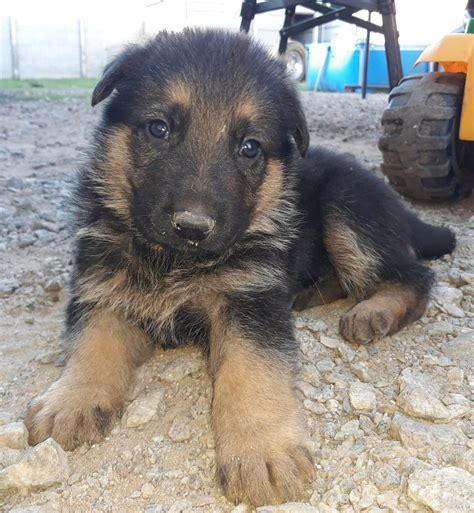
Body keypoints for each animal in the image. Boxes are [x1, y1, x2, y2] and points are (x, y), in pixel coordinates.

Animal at [25, 30, 456, 506]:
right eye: (159, 128)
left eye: (249, 147)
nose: (193, 226)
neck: (174, 258)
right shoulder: (101, 286)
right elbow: (92, 342)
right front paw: (72, 398)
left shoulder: (250, 301)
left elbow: (250, 370)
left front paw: (261, 449)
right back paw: (309, 294)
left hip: (347, 209)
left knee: (413, 275)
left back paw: (373, 310)